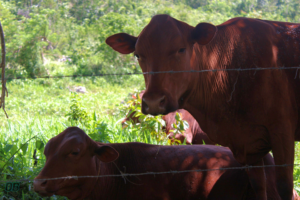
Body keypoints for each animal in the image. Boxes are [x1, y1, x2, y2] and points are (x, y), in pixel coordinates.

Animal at [106, 14, 300, 199]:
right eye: (138, 55)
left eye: (181, 49)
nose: (153, 101)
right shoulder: (249, 144)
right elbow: (259, 188)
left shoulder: (282, 132)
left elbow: (285, 188)